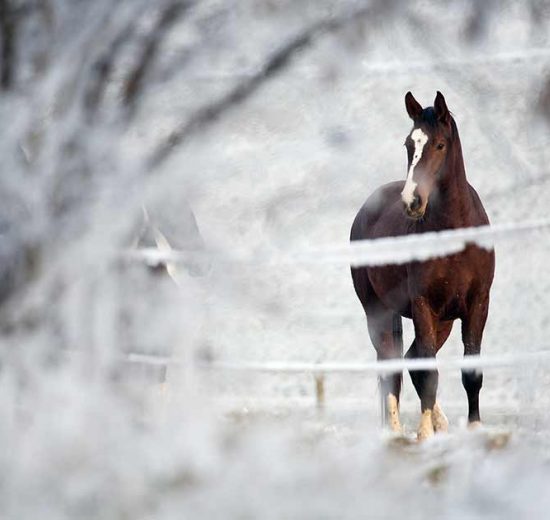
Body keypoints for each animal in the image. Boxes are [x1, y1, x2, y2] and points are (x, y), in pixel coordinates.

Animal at [352, 92, 498, 438]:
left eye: (440, 145)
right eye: (409, 144)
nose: (412, 201)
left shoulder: (477, 304)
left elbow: (471, 371)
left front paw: (473, 428)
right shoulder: (422, 305)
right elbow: (428, 372)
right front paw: (424, 434)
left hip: (442, 321)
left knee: (409, 358)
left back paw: (439, 421)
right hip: (378, 312)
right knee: (391, 366)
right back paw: (395, 432)